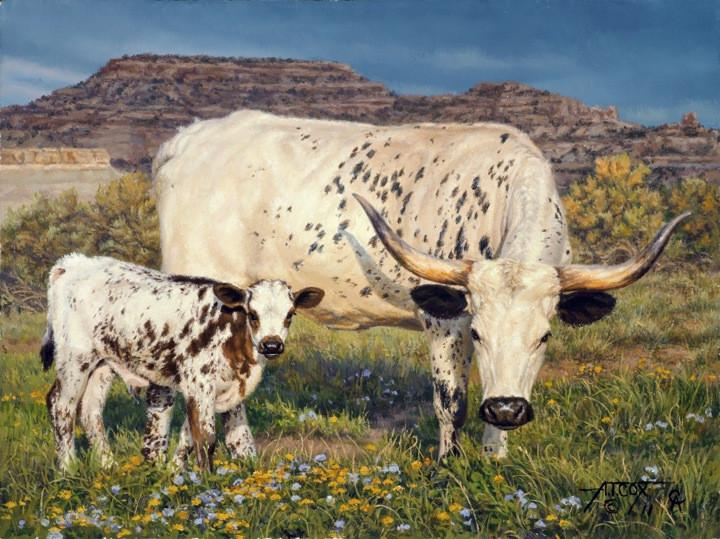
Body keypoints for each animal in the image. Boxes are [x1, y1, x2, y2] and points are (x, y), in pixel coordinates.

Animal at [41, 253, 324, 471]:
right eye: (252, 314)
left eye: (290, 314)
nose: (272, 344)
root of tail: (74, 262)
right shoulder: (199, 385)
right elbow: (206, 438)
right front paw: (206, 482)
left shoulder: (224, 390)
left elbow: (233, 439)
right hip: (75, 359)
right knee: (61, 406)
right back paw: (67, 469)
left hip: (103, 364)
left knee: (90, 411)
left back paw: (108, 466)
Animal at [152, 109, 688, 459]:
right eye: (479, 334)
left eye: (545, 336)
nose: (508, 409)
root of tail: (185, 140)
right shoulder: (445, 318)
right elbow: (451, 401)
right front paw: (449, 466)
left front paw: (495, 459)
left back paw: (243, 456)